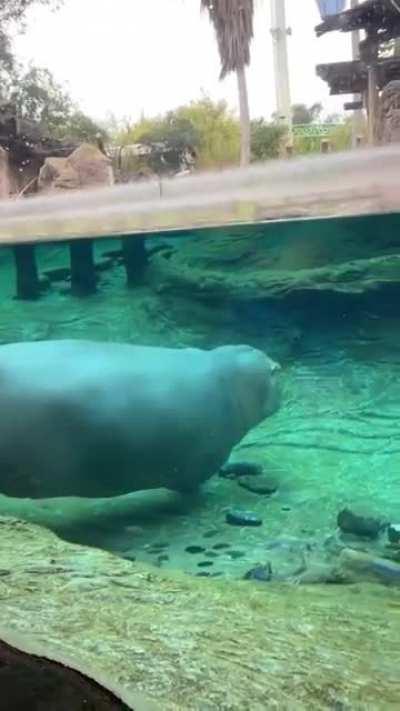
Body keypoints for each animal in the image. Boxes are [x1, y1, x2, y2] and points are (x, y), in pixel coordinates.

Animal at [0, 340, 281, 498]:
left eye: (249, 347)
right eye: (274, 373)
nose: (278, 364)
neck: (231, 378)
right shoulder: (206, 456)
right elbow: (191, 480)